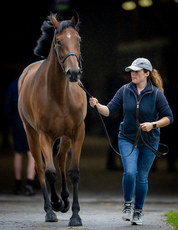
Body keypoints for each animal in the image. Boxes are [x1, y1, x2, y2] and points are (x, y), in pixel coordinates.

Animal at [18, 13, 87, 226]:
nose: (74, 73)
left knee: (62, 159)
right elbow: (49, 172)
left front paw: (75, 215)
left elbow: (73, 172)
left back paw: (65, 200)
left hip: (64, 137)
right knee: (41, 168)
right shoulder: (44, 136)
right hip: (31, 134)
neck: (60, 96)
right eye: (58, 41)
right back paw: (51, 208)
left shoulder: (77, 132)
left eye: (79, 40)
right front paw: (55, 205)